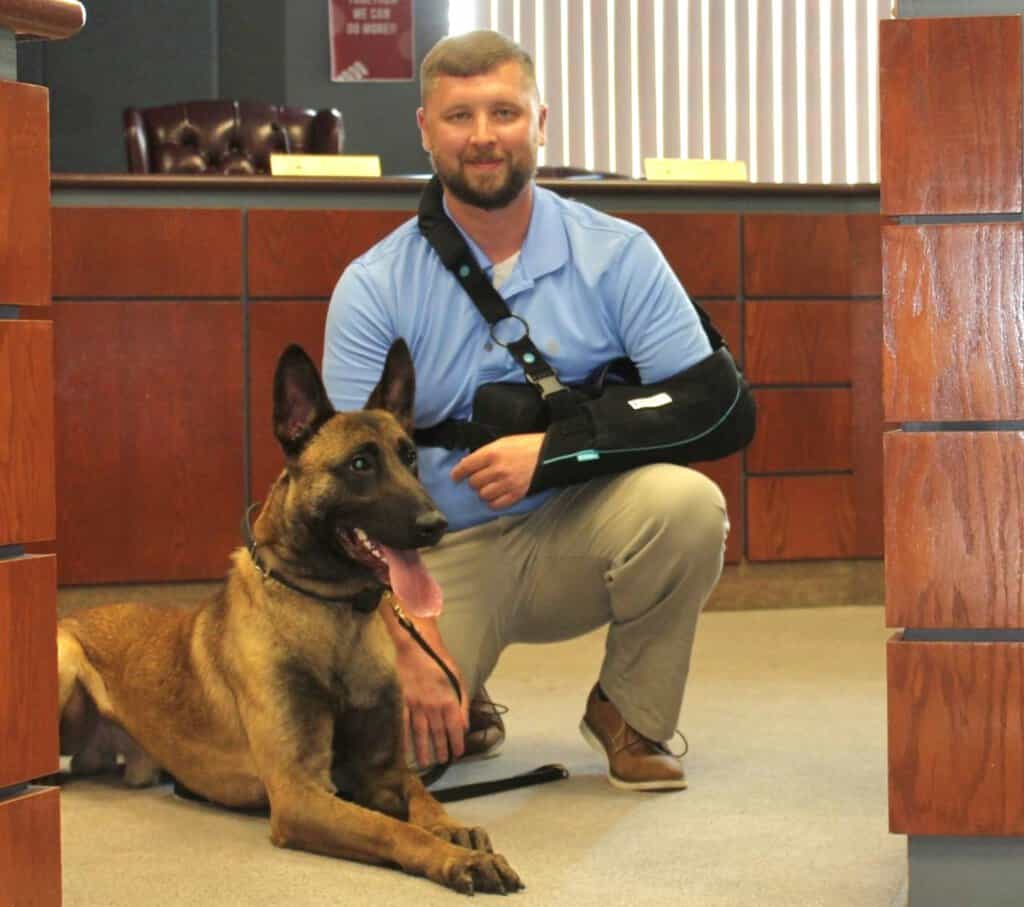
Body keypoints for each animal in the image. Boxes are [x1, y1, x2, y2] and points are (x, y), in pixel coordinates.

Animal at [55, 343, 520, 896]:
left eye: (410, 458)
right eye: (360, 464)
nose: (436, 525)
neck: (333, 612)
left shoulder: (384, 771)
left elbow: (424, 801)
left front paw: (454, 830)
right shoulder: (301, 795)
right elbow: (392, 830)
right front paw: (454, 859)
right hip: (63, 664)